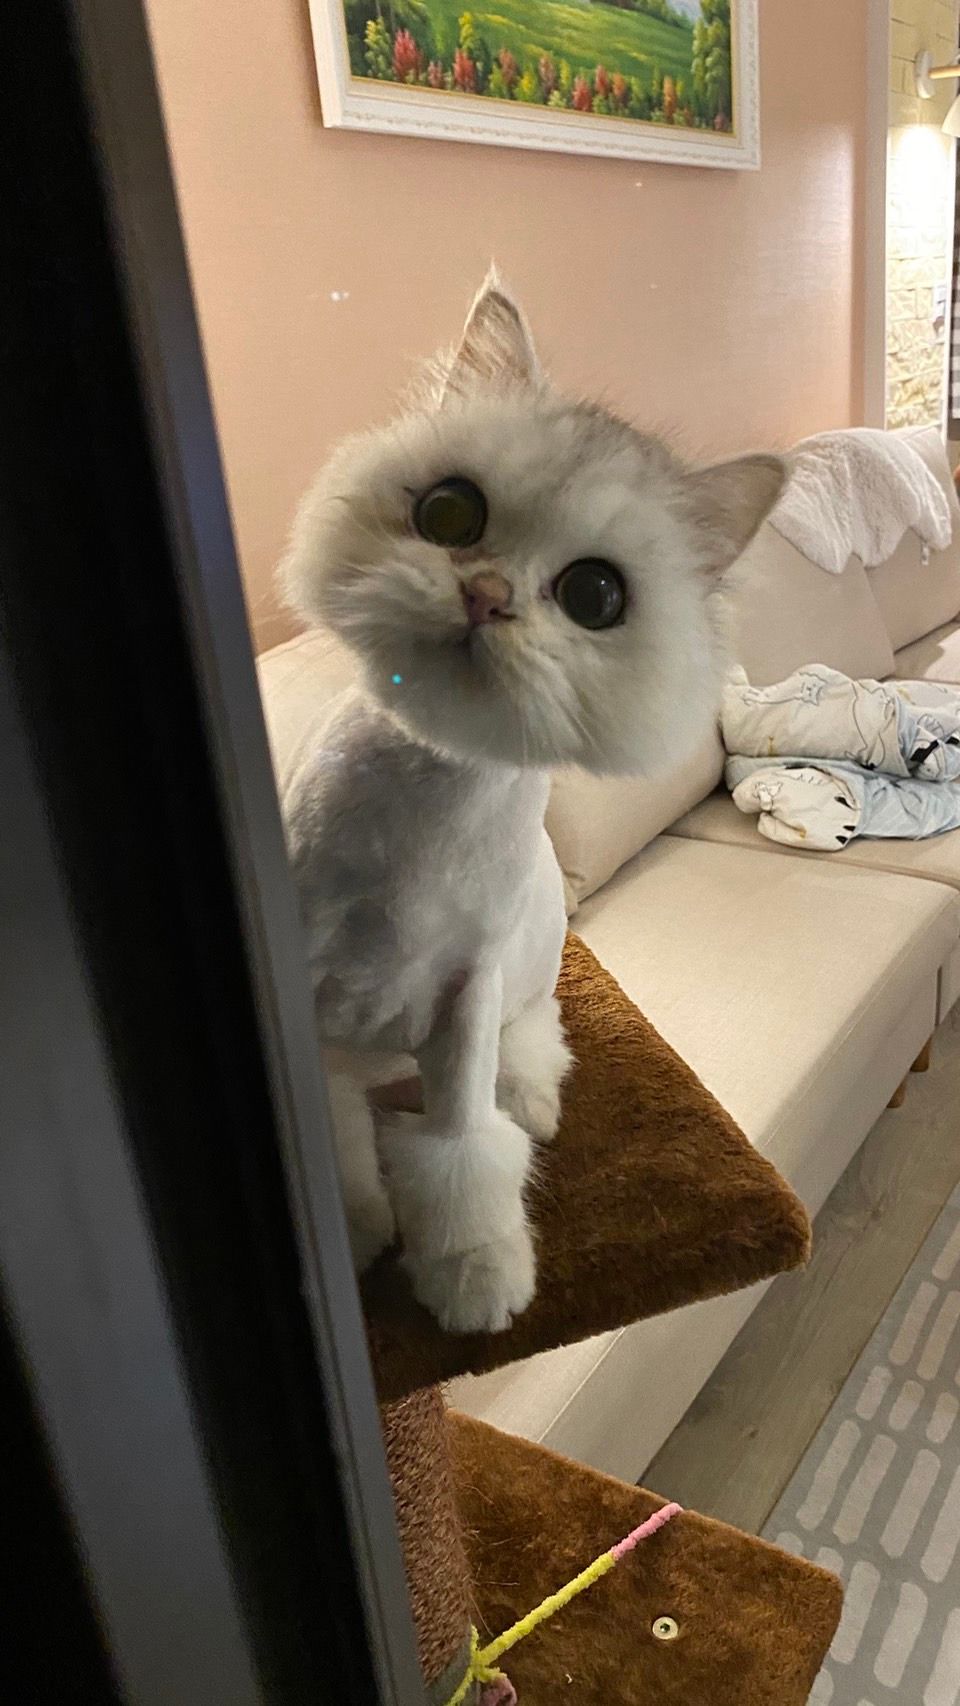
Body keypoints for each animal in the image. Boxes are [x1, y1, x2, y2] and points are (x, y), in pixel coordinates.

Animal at [279, 272, 784, 1334]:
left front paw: (475, 1281)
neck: (430, 801)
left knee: (529, 1053)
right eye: (450, 513)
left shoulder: (465, 994)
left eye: (595, 596)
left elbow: (462, 1154)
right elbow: (336, 1151)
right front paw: (358, 1234)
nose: (484, 594)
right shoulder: (304, 995)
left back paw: (531, 1101)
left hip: (525, 972)